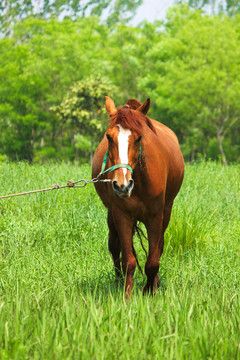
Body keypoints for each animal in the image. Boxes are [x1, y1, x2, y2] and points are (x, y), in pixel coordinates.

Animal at [92, 97, 184, 296]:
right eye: (108, 137)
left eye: (139, 137)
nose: (122, 185)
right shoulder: (122, 215)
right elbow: (129, 261)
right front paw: (127, 295)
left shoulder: (155, 216)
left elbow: (153, 261)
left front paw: (150, 290)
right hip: (112, 215)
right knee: (114, 245)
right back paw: (118, 281)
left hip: (166, 212)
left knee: (158, 247)